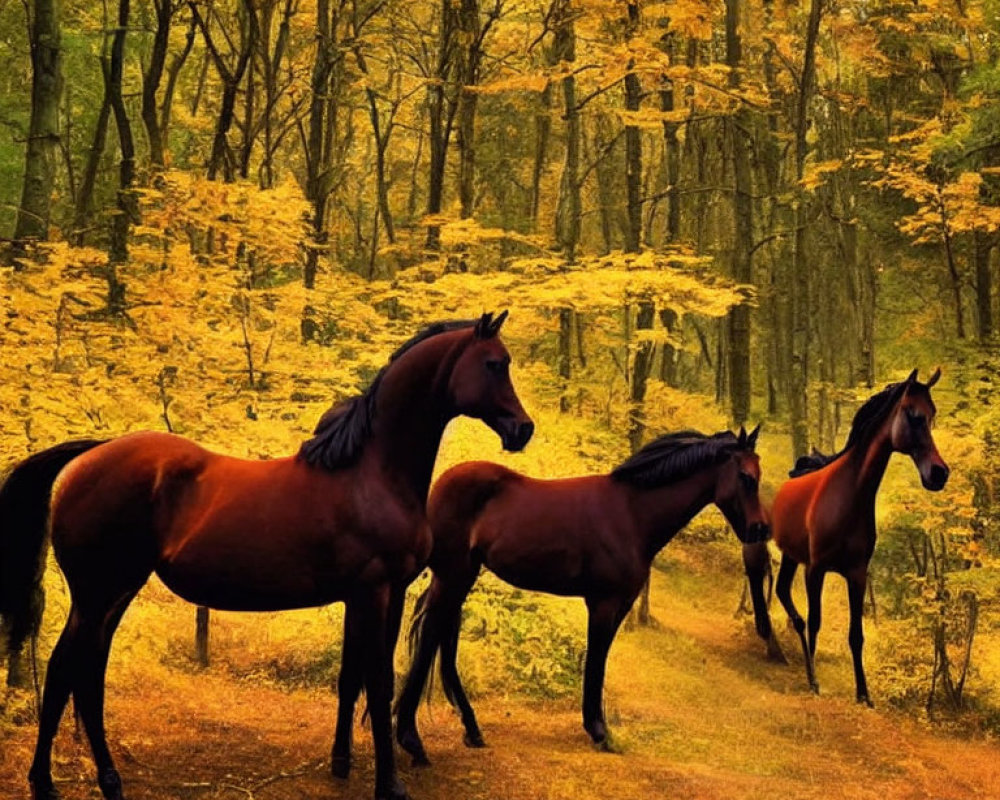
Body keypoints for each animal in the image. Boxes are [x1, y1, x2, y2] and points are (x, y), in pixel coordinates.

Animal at [0, 310, 536, 800]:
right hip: (97, 593)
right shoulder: (377, 592)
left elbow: (350, 677)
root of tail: (91, 454)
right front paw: (389, 784)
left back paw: (109, 780)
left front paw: (341, 763)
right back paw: (45, 782)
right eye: (493, 364)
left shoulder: (367, 596)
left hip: (117, 590)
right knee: (63, 669)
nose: (522, 430)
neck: (371, 473)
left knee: (88, 672)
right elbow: (378, 681)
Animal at [394, 424, 768, 764]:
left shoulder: (620, 605)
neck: (631, 513)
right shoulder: (603, 604)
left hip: (461, 576)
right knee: (432, 635)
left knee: (443, 636)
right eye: (746, 477)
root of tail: (441, 484)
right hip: (453, 575)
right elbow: (596, 662)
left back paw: (470, 728)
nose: (760, 529)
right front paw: (599, 731)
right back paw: (411, 738)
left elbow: (599, 661)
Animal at [768, 366, 948, 704]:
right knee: (791, 604)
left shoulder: (857, 574)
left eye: (932, 416)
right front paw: (814, 681)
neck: (848, 495)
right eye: (913, 414)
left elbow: (856, 635)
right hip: (791, 557)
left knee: (784, 593)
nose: (940, 473)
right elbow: (816, 621)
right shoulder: (816, 570)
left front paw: (863, 693)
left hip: (792, 557)